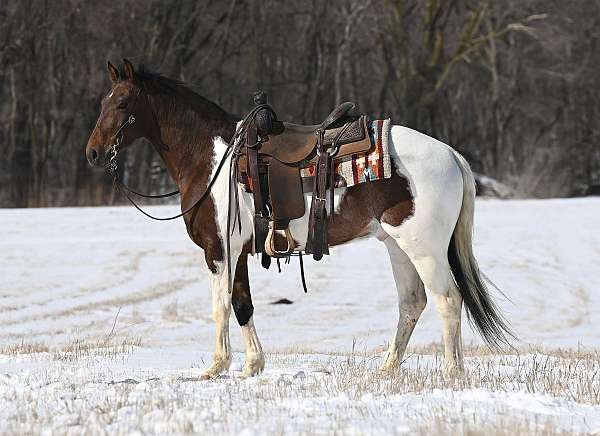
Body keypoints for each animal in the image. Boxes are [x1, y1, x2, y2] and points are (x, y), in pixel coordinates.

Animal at [84, 59, 510, 380]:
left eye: (123, 103)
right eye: (105, 100)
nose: (93, 153)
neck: (211, 160)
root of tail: (451, 155)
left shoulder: (218, 249)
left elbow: (221, 305)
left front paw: (216, 367)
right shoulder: (240, 251)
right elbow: (242, 304)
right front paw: (252, 366)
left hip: (425, 249)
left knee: (447, 300)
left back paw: (452, 373)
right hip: (396, 246)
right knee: (412, 303)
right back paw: (386, 369)